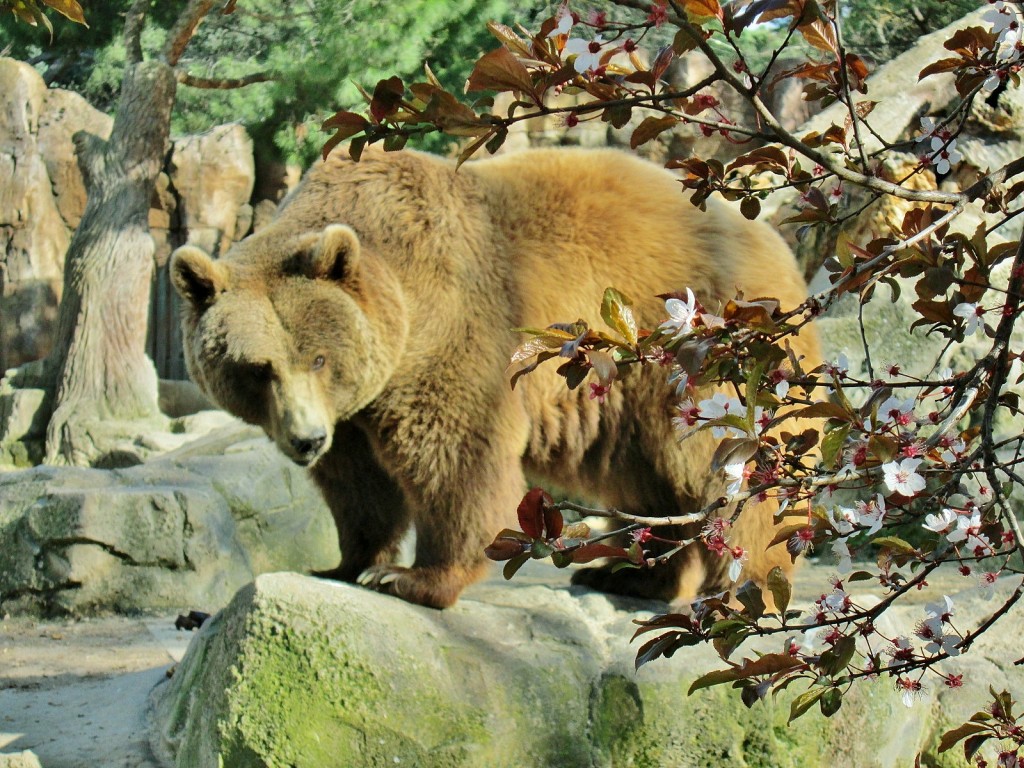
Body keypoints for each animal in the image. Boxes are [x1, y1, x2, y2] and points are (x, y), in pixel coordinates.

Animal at [172, 147, 819, 610]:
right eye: (256, 369)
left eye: (318, 359)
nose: (305, 440)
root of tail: (780, 247)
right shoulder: (351, 411)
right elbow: (357, 483)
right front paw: (345, 563)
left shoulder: (453, 321)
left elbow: (454, 453)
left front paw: (410, 576)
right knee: (649, 479)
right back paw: (626, 576)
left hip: (704, 347)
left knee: (722, 463)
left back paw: (746, 584)